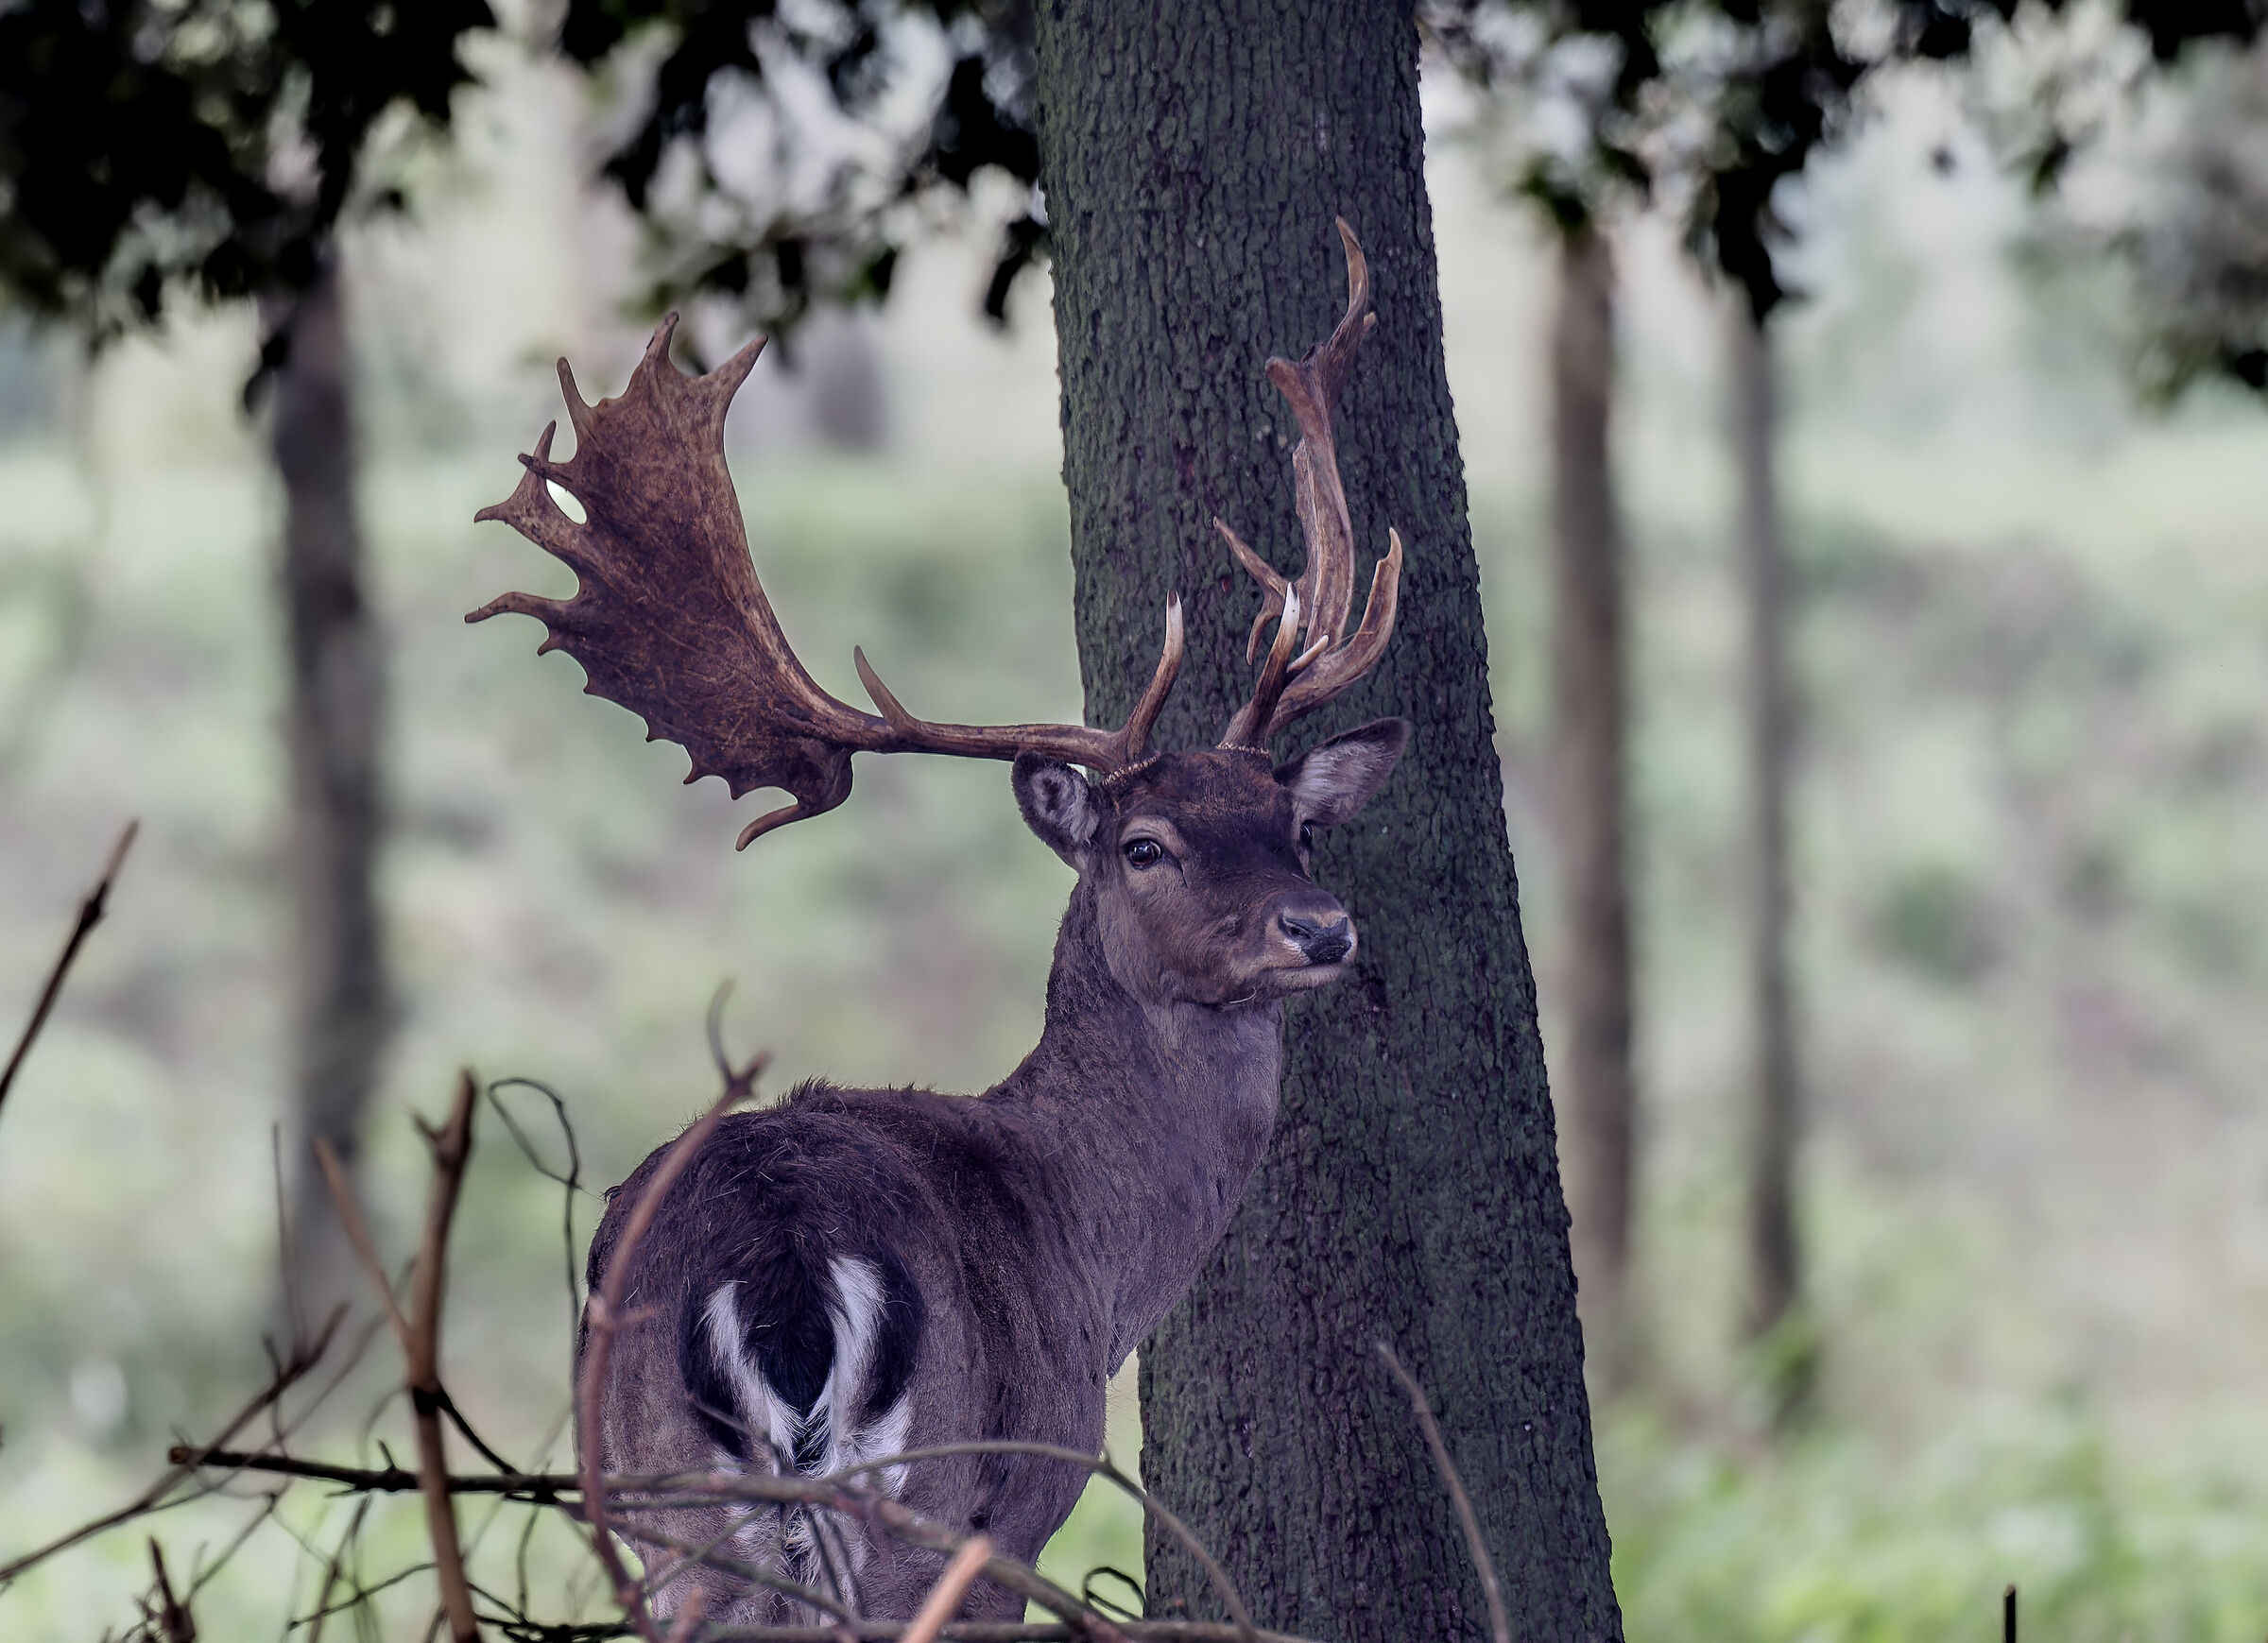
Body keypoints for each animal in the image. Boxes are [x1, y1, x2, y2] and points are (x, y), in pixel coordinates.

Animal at [469, 222, 1407, 1626]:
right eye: (1145, 844)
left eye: (1294, 823)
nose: (1321, 926)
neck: (1096, 1262)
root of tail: (785, 1267)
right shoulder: (1028, 1500)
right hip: (920, 1504)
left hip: (660, 1516)